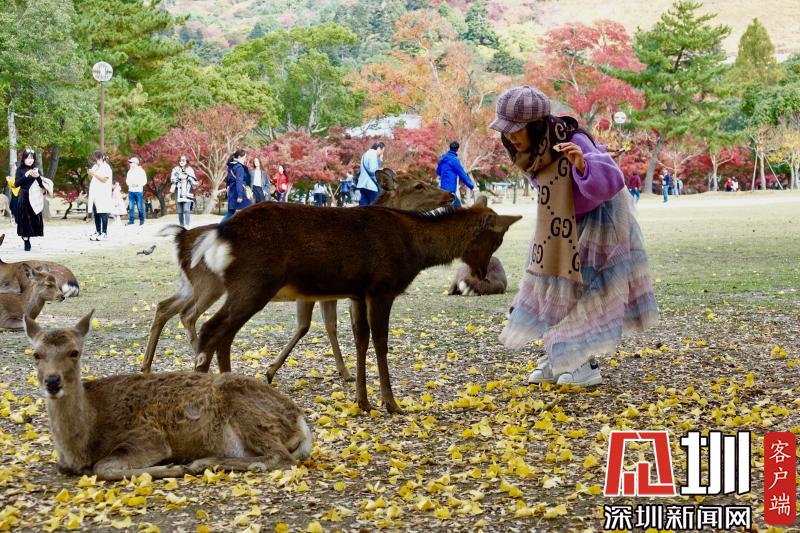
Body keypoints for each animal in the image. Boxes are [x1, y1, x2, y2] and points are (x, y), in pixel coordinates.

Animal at [24, 310, 312, 481]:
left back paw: (199, 463)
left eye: (74, 352)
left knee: (282, 459)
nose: (52, 381)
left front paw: (170, 468)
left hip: (247, 411)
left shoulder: (149, 437)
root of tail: (300, 421)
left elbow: (103, 467)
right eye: (36, 354)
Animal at [141, 169, 453, 377]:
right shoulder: (326, 291)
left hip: (197, 286)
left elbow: (332, 328)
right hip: (224, 285)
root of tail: (181, 237)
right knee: (196, 319)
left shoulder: (338, 292)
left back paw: (149, 366)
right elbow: (315, 326)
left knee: (168, 308)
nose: (450, 194)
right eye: (418, 185)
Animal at [181, 195, 519, 414]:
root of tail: (220, 234)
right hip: (254, 283)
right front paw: (391, 404)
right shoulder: (382, 287)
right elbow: (381, 342)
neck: (417, 251)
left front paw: (363, 401)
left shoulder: (358, 293)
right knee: (211, 329)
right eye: (497, 238)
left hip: (246, 287)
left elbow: (360, 340)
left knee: (224, 334)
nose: (482, 274)